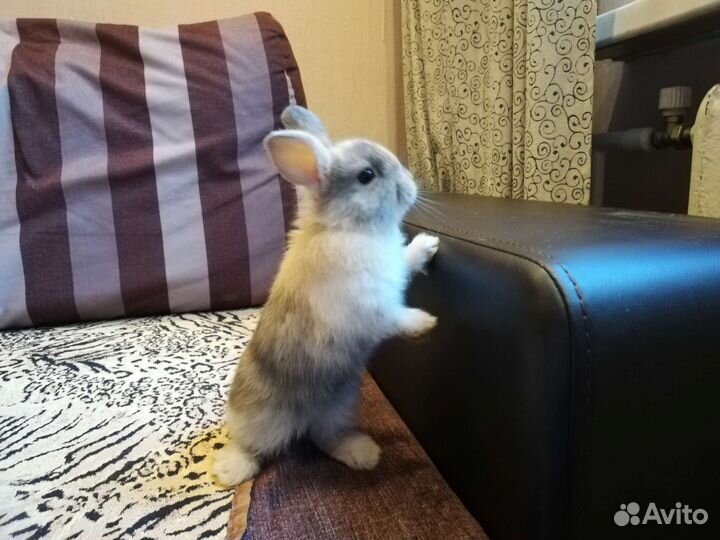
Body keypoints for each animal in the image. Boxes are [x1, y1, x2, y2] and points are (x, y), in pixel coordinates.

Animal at [212, 105, 439, 486]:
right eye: (366, 175)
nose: (410, 185)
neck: (348, 228)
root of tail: (303, 419)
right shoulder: (367, 307)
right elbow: (394, 318)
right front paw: (425, 323)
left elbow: (408, 259)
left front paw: (429, 245)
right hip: (263, 421)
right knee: (252, 447)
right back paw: (230, 471)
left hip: (340, 407)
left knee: (326, 438)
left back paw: (365, 454)